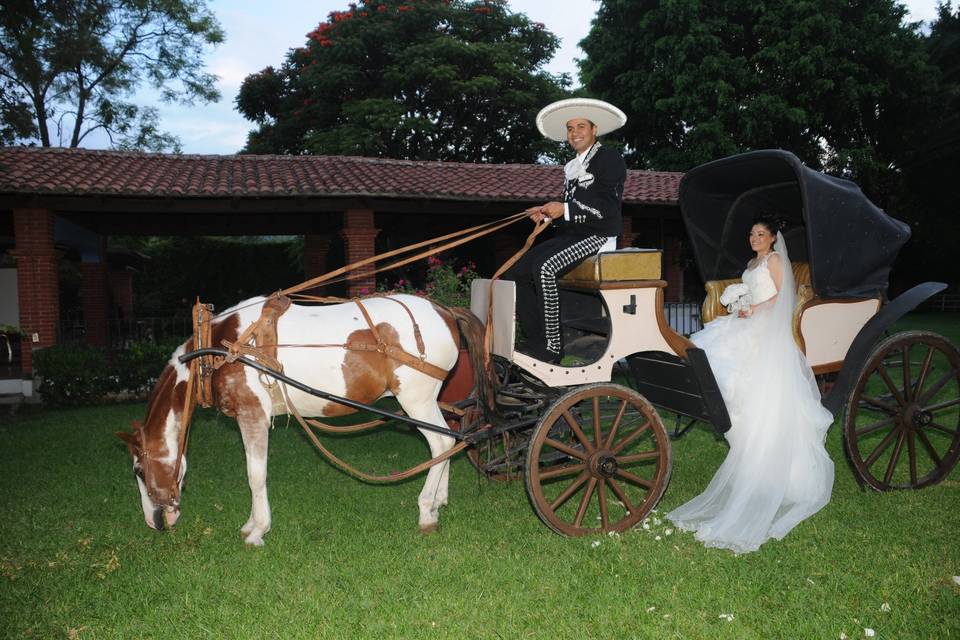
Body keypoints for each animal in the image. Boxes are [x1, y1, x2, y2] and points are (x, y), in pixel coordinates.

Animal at [116, 296, 488, 544]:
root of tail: (444, 311)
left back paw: (426, 511)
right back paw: (438, 500)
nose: (154, 522)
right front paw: (252, 524)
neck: (215, 352)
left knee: (441, 441)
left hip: (416, 399)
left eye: (138, 470)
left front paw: (257, 530)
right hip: (429, 400)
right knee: (450, 438)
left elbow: (255, 475)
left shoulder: (253, 414)